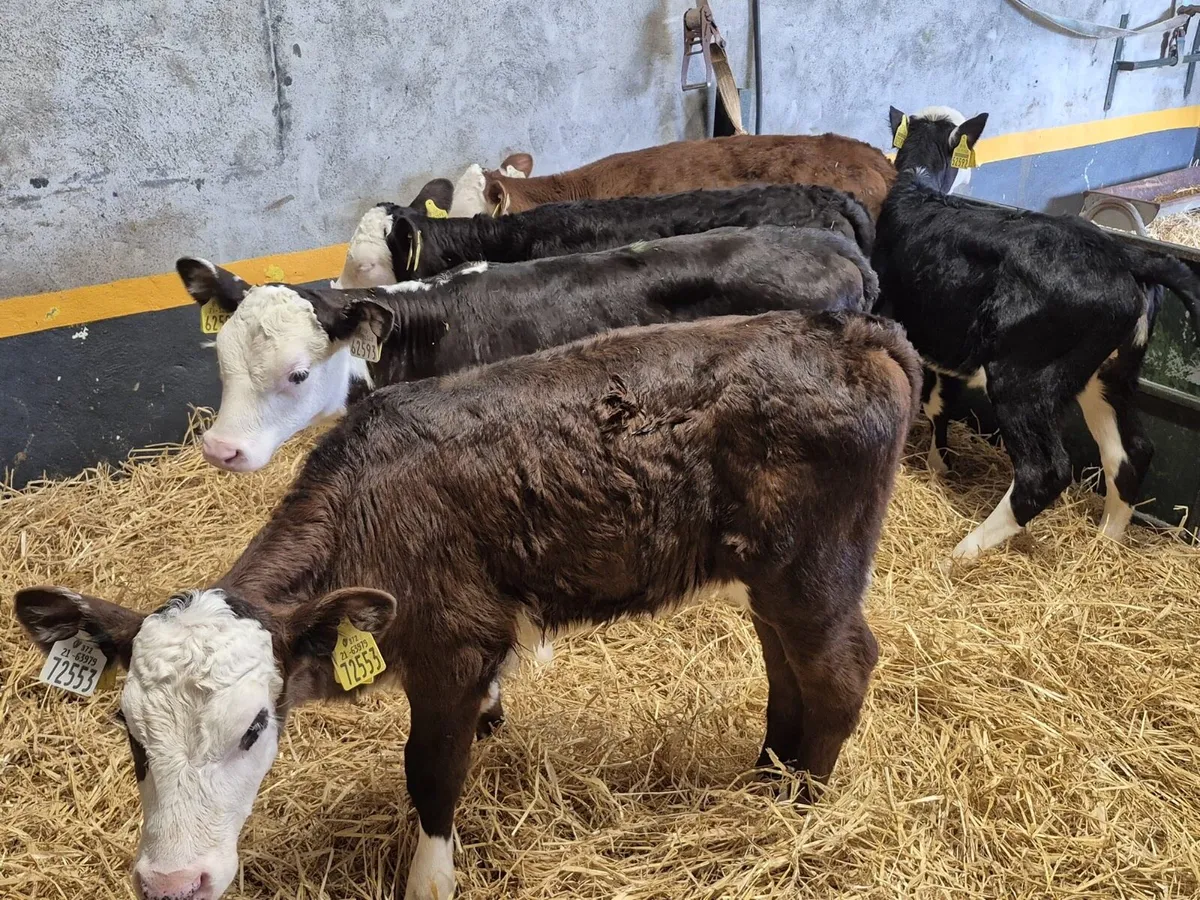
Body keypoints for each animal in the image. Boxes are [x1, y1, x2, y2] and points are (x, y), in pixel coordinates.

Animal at [15, 308, 921, 900]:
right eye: (128, 733)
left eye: (254, 728)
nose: (173, 881)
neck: (371, 507)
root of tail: (854, 330)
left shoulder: (450, 650)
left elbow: (431, 773)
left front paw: (429, 880)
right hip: (769, 579)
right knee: (786, 672)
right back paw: (768, 778)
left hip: (816, 571)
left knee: (840, 670)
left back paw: (801, 808)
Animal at [874, 106, 1200, 558]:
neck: (918, 187)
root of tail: (1125, 256)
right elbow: (939, 404)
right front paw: (940, 467)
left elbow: (928, 399)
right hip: (1108, 374)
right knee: (1130, 451)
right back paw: (1105, 542)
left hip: (1023, 377)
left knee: (1044, 471)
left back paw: (965, 551)